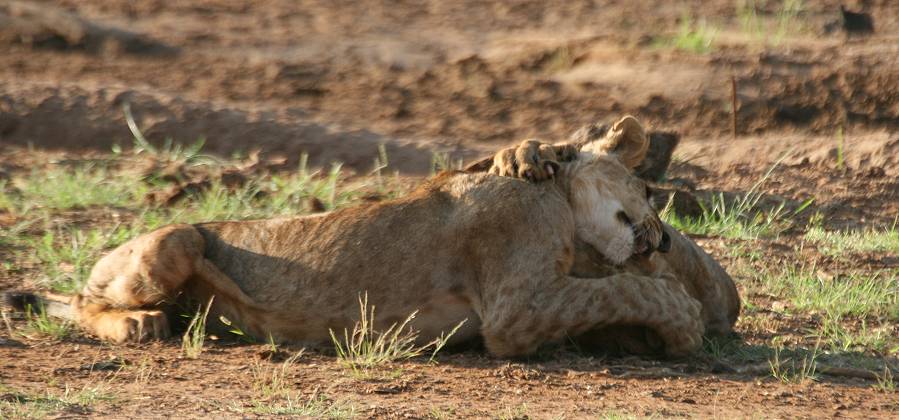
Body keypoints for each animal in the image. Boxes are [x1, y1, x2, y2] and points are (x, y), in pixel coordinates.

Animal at [7, 115, 712, 358]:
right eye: (647, 190)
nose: (665, 243)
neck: (561, 201)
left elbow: (615, 291)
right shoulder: (517, 310)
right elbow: (629, 291)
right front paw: (683, 324)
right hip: (176, 238)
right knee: (79, 298)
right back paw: (135, 325)